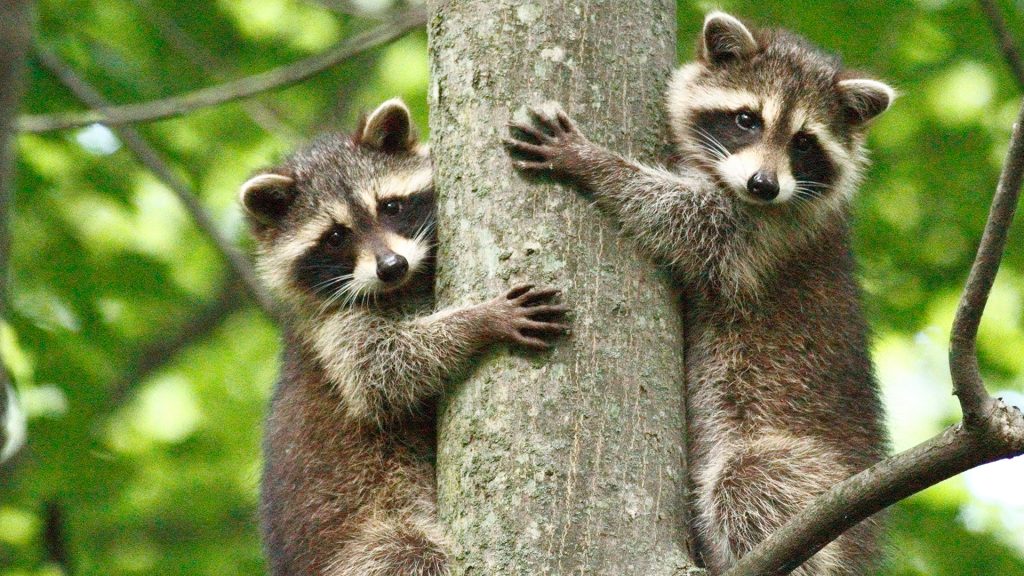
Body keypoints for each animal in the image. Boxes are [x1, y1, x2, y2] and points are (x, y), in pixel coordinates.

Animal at [243, 98, 573, 573]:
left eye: (391, 207)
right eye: (336, 236)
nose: (391, 266)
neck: (403, 287)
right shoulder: (332, 330)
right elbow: (380, 373)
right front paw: (479, 321)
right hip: (367, 543)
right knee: (411, 553)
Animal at [507, 10, 892, 573]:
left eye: (804, 142)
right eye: (746, 119)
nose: (763, 185)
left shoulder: (773, 236)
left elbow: (693, 225)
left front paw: (596, 163)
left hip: (815, 482)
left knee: (751, 480)